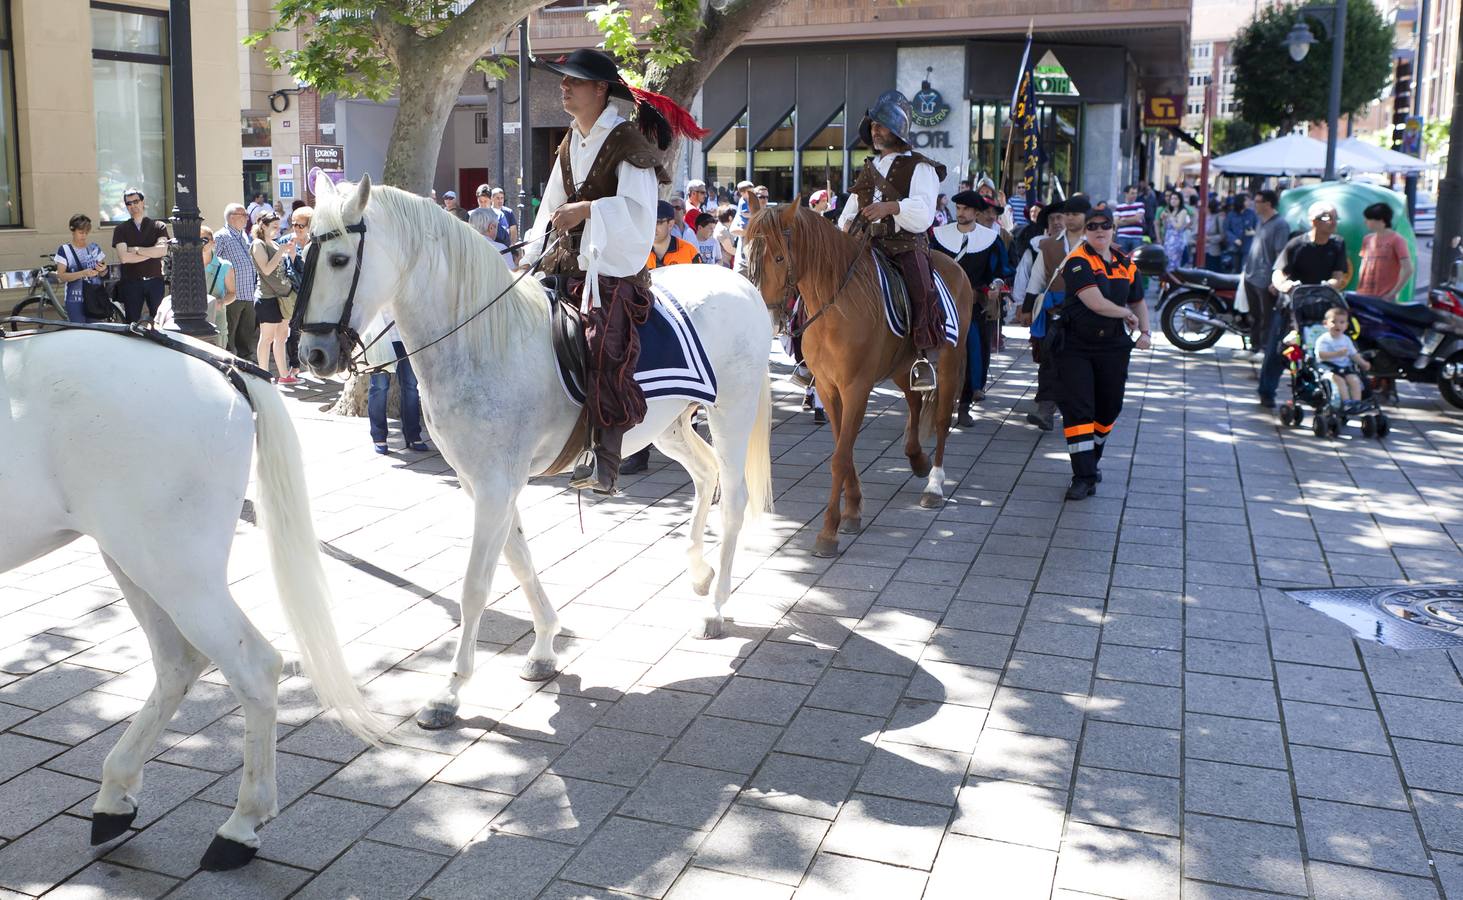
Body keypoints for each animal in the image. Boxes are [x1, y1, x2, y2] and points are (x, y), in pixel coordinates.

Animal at [0, 327, 383, 872]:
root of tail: (222, 363)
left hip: (174, 569)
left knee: (252, 667)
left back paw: (240, 826)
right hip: (137, 559)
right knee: (178, 661)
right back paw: (115, 796)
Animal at [299, 176, 778, 731]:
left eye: (338, 259)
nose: (311, 354)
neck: (479, 341)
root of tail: (741, 285)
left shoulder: (495, 484)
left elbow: (476, 585)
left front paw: (450, 691)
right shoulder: (482, 482)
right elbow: (519, 559)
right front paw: (546, 646)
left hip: (731, 411)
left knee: (735, 498)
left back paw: (716, 608)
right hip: (669, 424)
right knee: (704, 475)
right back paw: (699, 574)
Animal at [749, 201, 977, 556]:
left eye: (779, 257)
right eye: (748, 254)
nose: (767, 318)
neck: (833, 309)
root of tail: (955, 265)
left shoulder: (856, 388)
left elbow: (841, 457)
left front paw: (829, 531)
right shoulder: (828, 388)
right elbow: (843, 447)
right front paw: (853, 509)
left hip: (951, 361)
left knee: (941, 420)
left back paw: (934, 485)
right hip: (902, 366)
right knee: (914, 402)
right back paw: (917, 459)